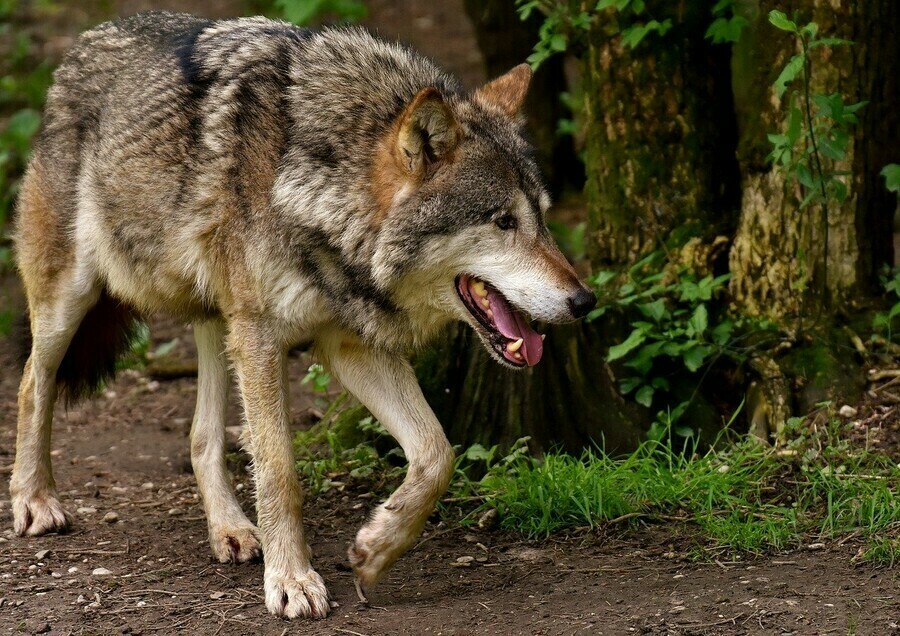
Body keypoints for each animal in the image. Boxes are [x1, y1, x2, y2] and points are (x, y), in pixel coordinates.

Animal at [10, 12, 596, 620]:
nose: (584, 301)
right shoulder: (263, 338)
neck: (319, 190)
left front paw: (376, 550)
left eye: (544, 219)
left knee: (201, 435)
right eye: (503, 221)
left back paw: (232, 530)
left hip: (218, 321)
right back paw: (34, 500)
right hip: (73, 299)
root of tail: (85, 41)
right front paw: (291, 580)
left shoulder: (349, 346)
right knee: (33, 382)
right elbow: (280, 472)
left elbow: (438, 454)